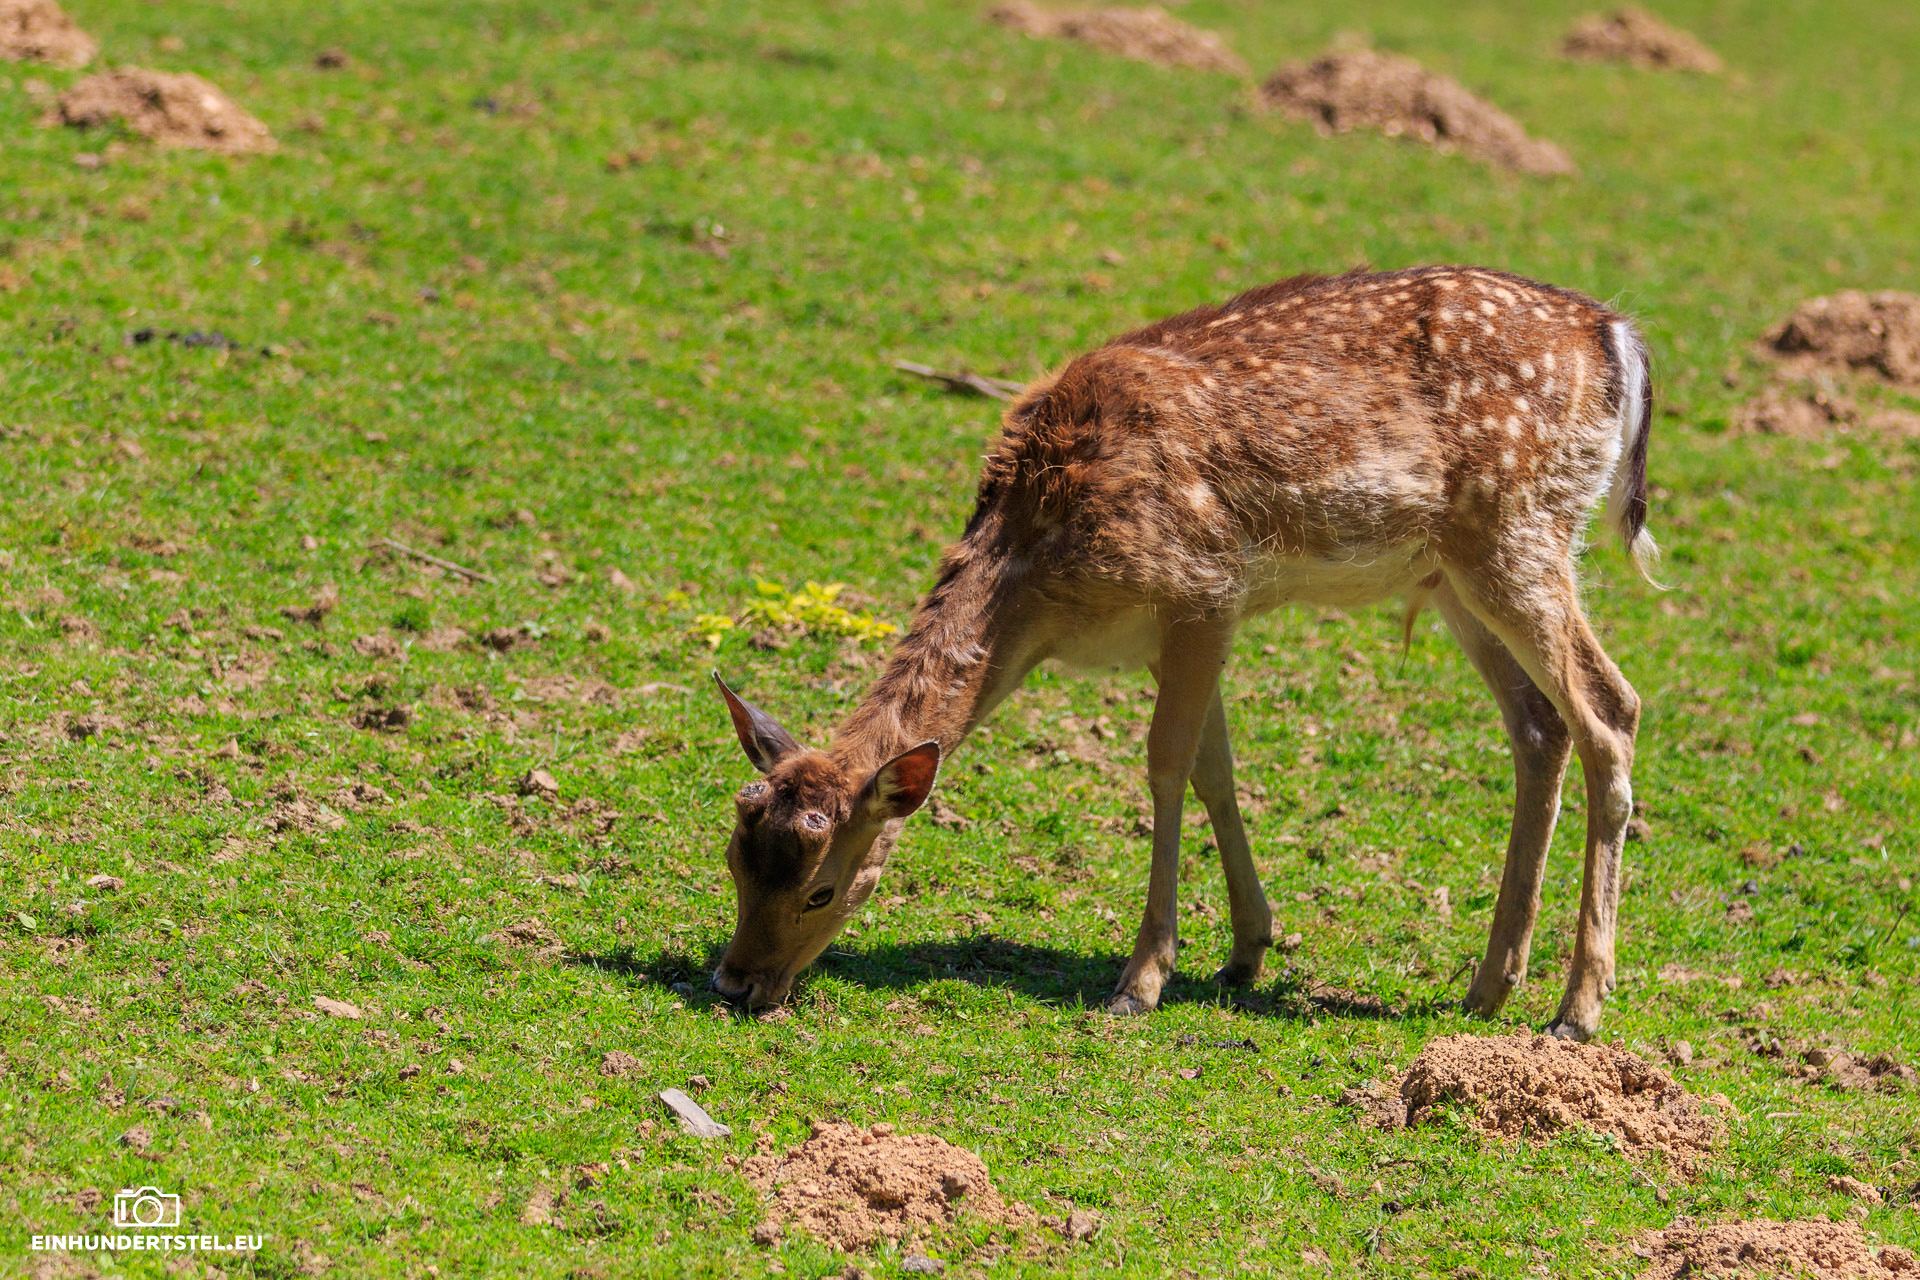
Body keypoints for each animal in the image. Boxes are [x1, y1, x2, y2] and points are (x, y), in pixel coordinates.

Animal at [709, 265, 1657, 1042]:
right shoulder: (1178, 626)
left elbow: (1165, 764)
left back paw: (1576, 1009)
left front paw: (1142, 980)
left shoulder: (1201, 585)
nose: (734, 983)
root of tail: (1620, 336)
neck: (1046, 580)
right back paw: (1489, 986)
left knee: (1611, 708)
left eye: (824, 886)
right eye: (733, 857)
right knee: (1539, 725)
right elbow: (1214, 768)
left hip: (1518, 529)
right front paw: (1246, 949)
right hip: (1452, 571)